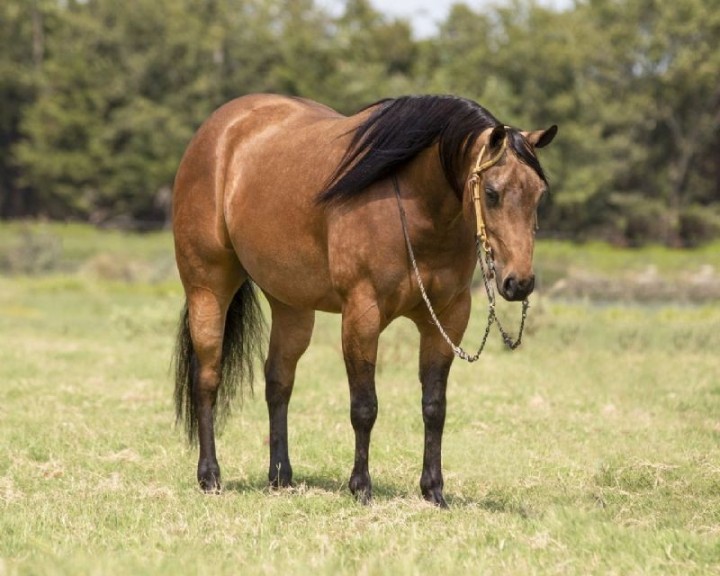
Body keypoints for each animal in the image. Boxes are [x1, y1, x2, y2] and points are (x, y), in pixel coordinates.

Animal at [172, 93, 557, 507]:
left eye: (538, 193)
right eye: (492, 193)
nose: (519, 283)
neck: (414, 208)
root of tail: (218, 129)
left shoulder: (447, 318)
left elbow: (434, 406)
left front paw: (434, 490)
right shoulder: (362, 314)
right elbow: (364, 406)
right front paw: (361, 487)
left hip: (292, 306)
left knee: (278, 381)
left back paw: (280, 477)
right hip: (208, 288)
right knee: (207, 378)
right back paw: (210, 477)